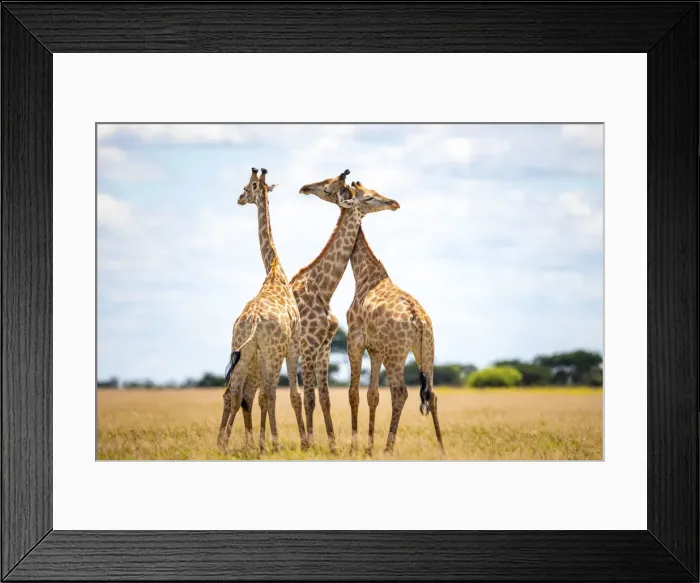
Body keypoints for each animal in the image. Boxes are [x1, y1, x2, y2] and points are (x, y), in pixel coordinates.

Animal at [217, 167, 305, 453]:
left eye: (247, 187)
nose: (239, 198)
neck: (275, 270)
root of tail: (254, 321)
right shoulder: (293, 343)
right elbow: (293, 394)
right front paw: (304, 441)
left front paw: (259, 443)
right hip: (272, 353)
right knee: (268, 394)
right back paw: (274, 444)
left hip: (244, 353)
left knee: (234, 394)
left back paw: (223, 444)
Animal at [293, 170, 399, 451]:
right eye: (369, 196)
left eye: (327, 184)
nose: (394, 202)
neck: (320, 288)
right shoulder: (310, 345)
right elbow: (311, 397)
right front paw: (310, 445)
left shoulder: (323, 346)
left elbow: (324, 397)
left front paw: (330, 446)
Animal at [345, 181, 444, 454]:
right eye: (369, 196)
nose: (394, 203)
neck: (364, 275)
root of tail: (418, 320)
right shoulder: (375, 349)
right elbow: (372, 394)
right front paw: (367, 448)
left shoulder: (355, 342)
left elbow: (354, 392)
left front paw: (356, 448)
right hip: (426, 349)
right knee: (432, 393)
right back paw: (441, 449)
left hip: (396, 353)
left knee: (400, 392)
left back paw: (387, 449)